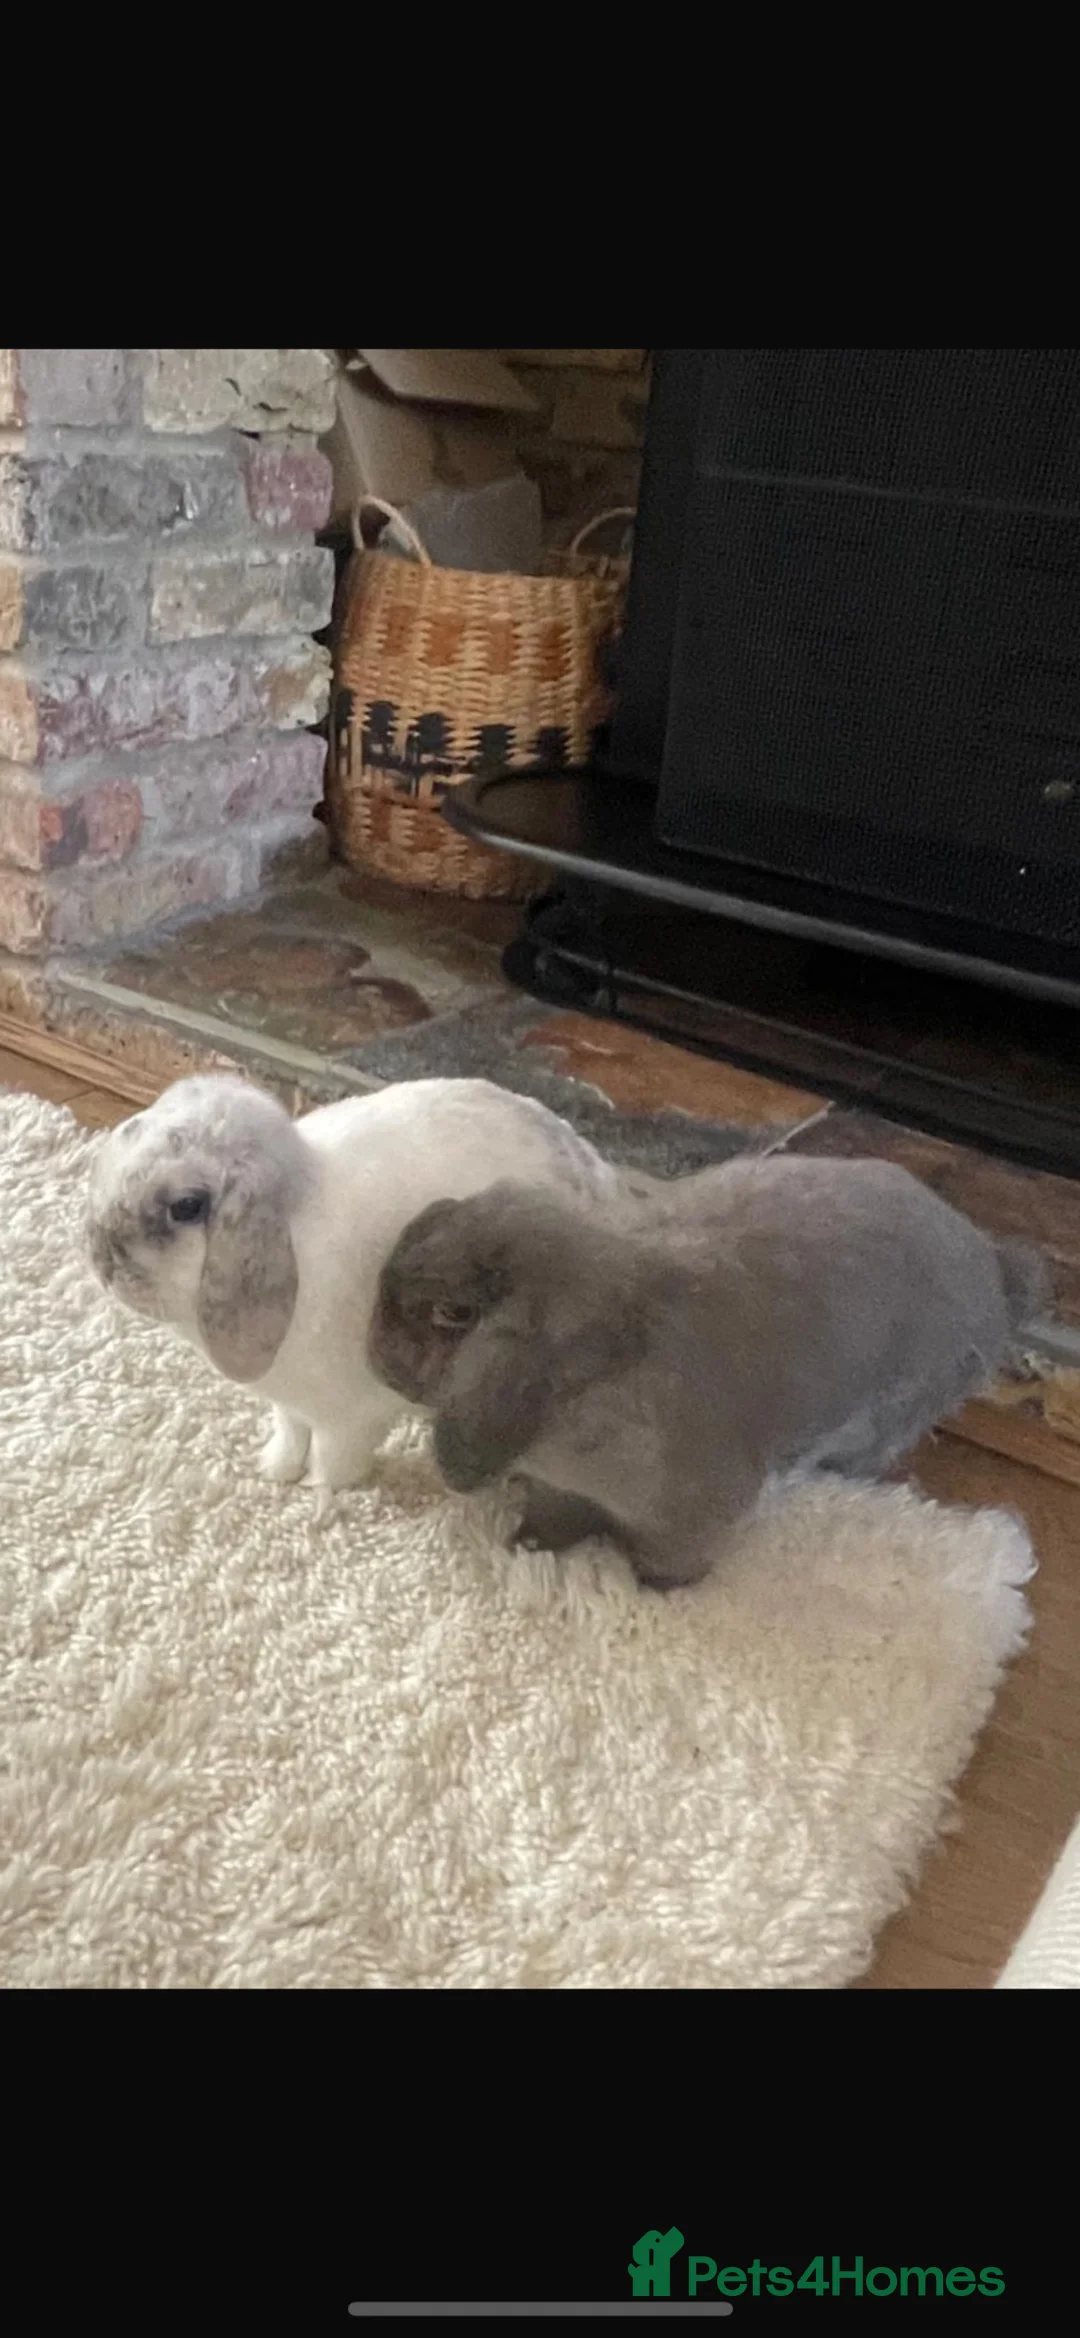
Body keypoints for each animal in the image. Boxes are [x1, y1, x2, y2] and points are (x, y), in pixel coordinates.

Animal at [86, 1072, 620, 1510]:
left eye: (186, 1206)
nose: (102, 1261)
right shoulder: (291, 1405)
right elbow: (289, 1433)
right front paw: (274, 1470)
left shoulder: (349, 1417)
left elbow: (333, 1457)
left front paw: (319, 1495)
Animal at [368, 1154, 1046, 1589]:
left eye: (454, 1313)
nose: (374, 1358)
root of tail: (995, 1272)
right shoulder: (560, 1490)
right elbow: (552, 1520)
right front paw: (526, 1546)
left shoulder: (689, 1516)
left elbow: (669, 1557)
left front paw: (654, 1588)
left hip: (893, 1416)